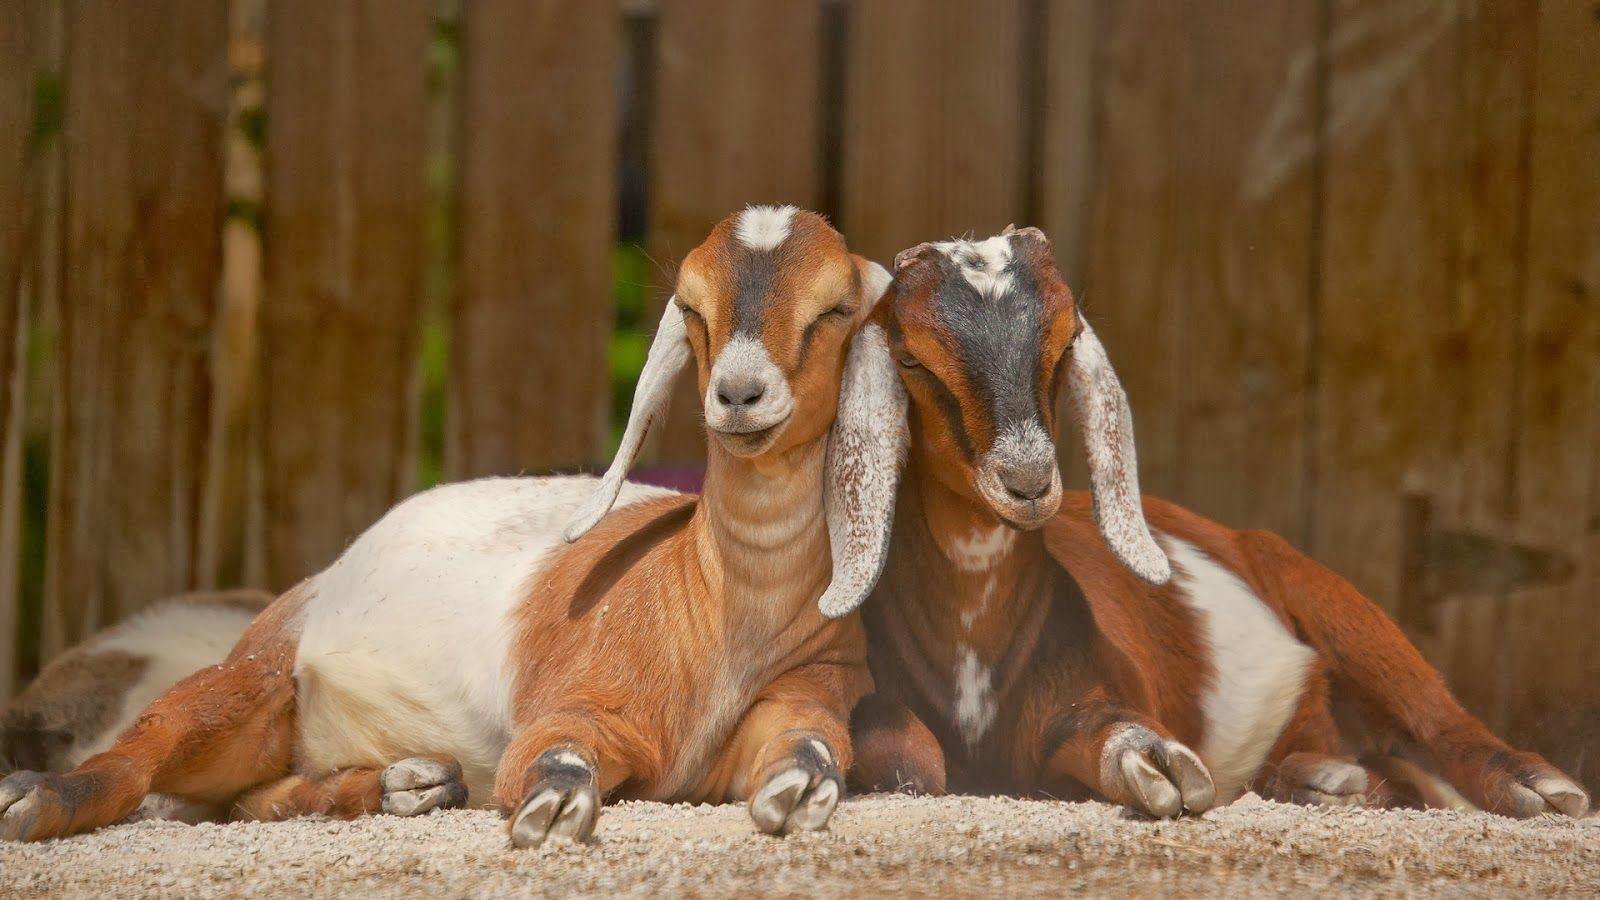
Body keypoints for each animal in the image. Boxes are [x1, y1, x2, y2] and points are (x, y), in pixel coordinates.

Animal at [0, 206, 908, 845]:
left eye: (833, 310)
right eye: (692, 306)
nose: (739, 394)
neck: (717, 605)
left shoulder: (806, 697)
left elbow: (809, 750)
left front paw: (802, 794)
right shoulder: (572, 703)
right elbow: (554, 757)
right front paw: (551, 808)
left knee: (252, 799)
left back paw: (408, 783)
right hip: (248, 677)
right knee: (148, 750)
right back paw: (34, 802)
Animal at [848, 226, 1590, 820]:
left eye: (1065, 342)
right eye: (911, 358)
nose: (1028, 482)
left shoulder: (1097, 688)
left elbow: (1113, 727)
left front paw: (1154, 762)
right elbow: (900, 751)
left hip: (1334, 602)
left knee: (1431, 713)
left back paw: (1536, 786)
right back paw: (1327, 779)